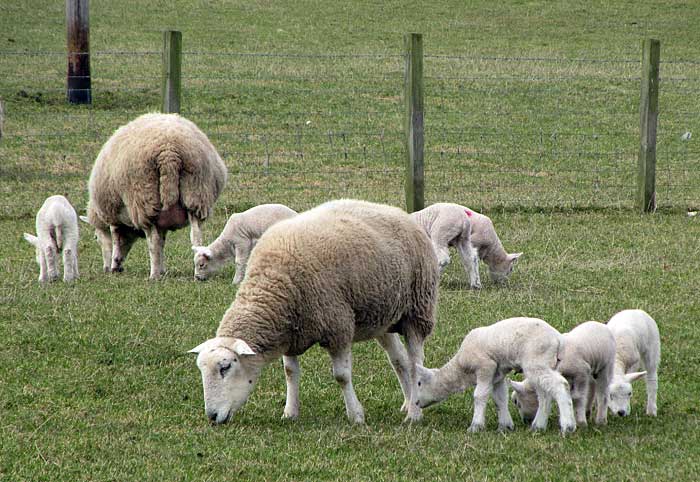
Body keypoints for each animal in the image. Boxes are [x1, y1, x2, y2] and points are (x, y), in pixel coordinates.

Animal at [81, 112, 226, 278]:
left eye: (96, 238)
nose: (107, 269)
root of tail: (169, 151)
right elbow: (162, 241)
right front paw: (162, 269)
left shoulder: (114, 219)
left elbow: (118, 239)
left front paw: (115, 264)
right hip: (196, 194)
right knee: (196, 238)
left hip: (144, 200)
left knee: (154, 242)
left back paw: (154, 275)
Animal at [186, 200, 438, 426]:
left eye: (225, 367)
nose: (212, 417)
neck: (271, 286)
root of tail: (397, 211)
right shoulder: (289, 333)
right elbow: (290, 372)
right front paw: (290, 413)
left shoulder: (338, 327)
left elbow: (341, 376)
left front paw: (356, 416)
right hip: (382, 317)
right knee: (400, 360)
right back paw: (407, 402)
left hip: (417, 310)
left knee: (416, 363)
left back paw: (414, 413)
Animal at [416, 316, 576, 434]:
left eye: (419, 383)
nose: (416, 403)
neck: (461, 369)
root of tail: (559, 339)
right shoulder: (497, 374)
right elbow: (500, 398)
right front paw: (505, 426)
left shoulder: (485, 367)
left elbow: (479, 395)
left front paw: (475, 426)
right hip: (543, 364)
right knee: (545, 394)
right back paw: (538, 426)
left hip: (536, 361)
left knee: (560, 385)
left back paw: (567, 426)